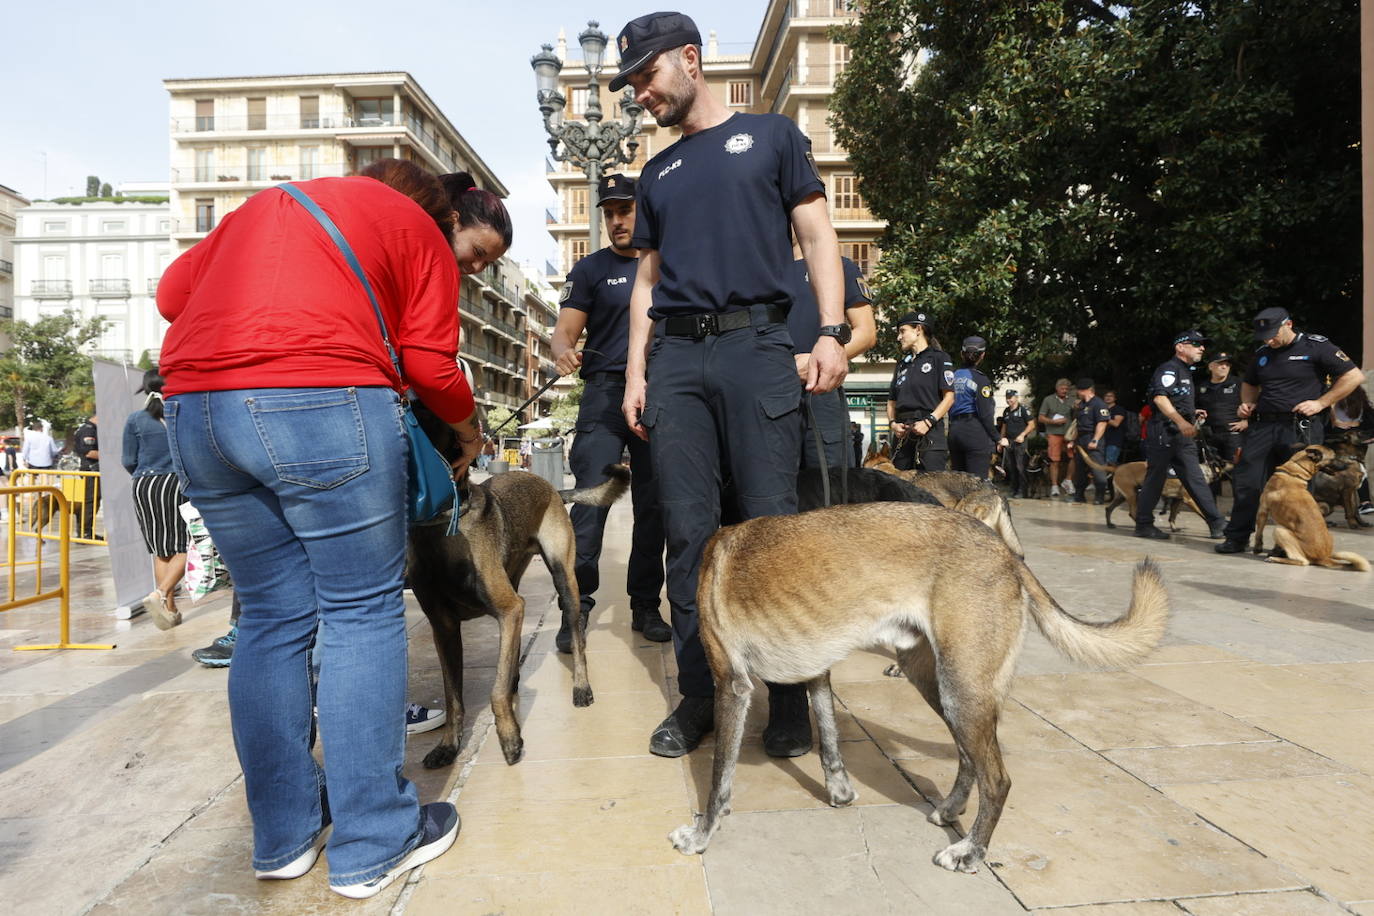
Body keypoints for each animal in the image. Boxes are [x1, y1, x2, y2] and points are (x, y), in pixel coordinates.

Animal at [401, 403, 629, 769]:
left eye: (429, 413)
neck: (441, 527)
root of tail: (552, 488)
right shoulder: (444, 629)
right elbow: (453, 699)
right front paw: (449, 745)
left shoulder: (508, 611)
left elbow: (494, 691)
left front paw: (509, 738)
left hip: (565, 582)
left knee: (577, 638)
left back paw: (580, 687)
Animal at [670, 502, 1165, 873]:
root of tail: (1005, 552)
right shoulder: (819, 675)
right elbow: (829, 741)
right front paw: (840, 793)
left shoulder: (731, 686)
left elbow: (718, 777)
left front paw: (702, 833)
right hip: (942, 685)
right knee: (970, 757)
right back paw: (951, 810)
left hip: (960, 688)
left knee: (997, 779)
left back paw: (971, 850)